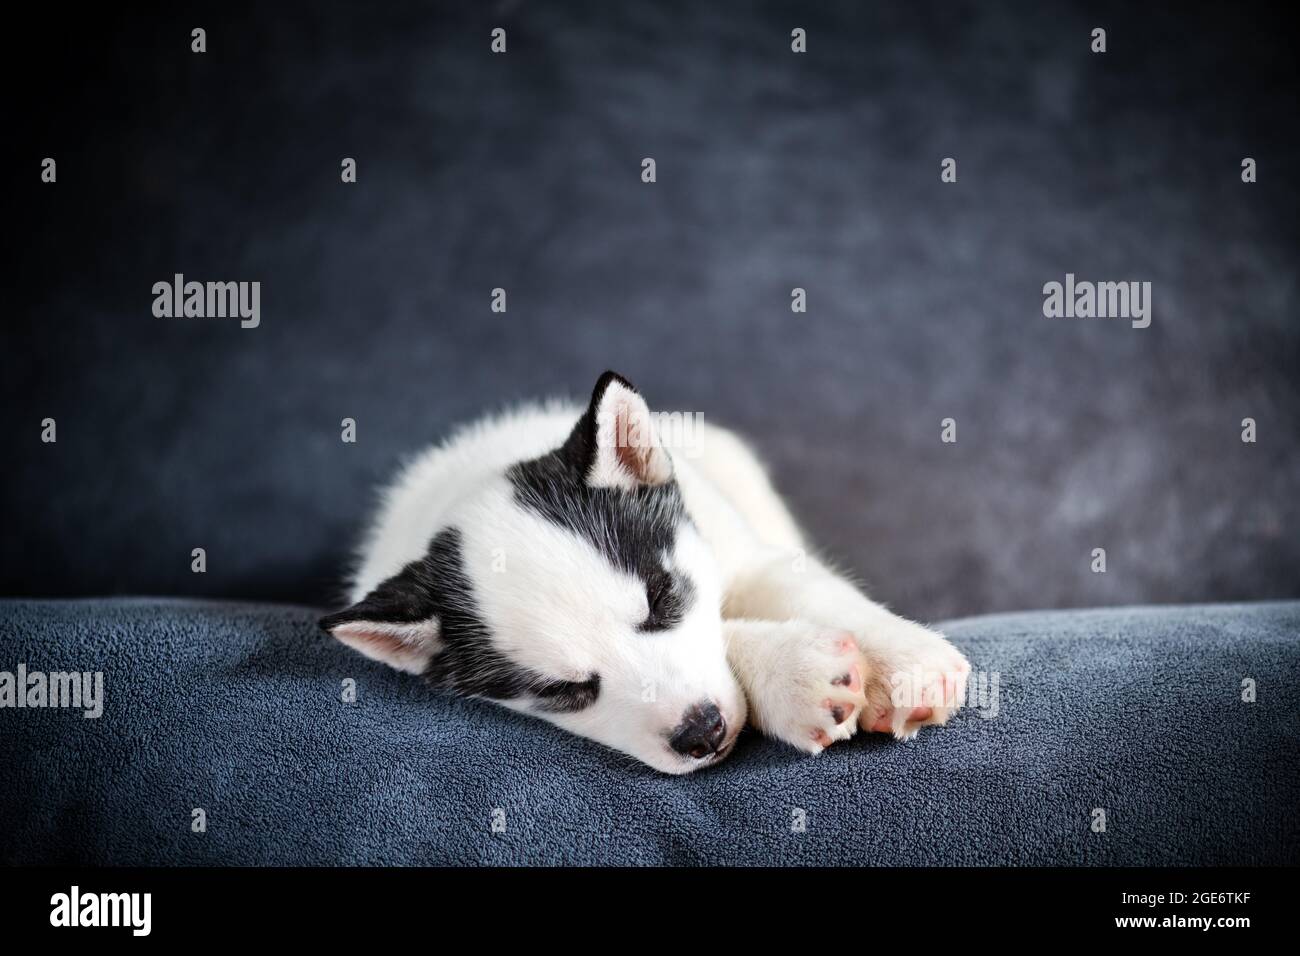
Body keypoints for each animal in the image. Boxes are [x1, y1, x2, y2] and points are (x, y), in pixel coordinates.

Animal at [319, 369, 972, 775]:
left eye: (663, 599)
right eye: (563, 691)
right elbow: (730, 633)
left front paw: (903, 663)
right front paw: (796, 675)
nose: (702, 734)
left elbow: (798, 586)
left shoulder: (736, 553)